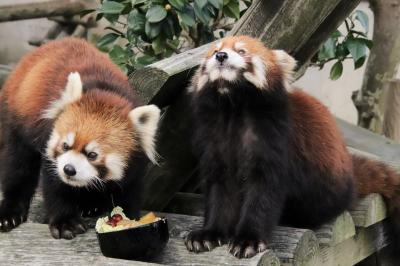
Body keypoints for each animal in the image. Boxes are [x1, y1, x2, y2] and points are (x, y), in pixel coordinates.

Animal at [0, 37, 159, 239]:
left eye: (92, 154)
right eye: (65, 145)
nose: (69, 169)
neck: (105, 91)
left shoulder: (136, 163)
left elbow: (128, 190)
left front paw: (129, 220)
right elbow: (55, 184)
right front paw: (65, 222)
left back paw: (90, 205)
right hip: (16, 118)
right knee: (17, 164)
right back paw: (10, 212)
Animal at [186, 35, 400, 260]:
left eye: (241, 51)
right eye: (214, 50)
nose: (220, 55)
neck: (232, 107)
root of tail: (350, 174)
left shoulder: (274, 137)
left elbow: (263, 192)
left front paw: (248, 240)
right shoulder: (215, 140)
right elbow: (219, 190)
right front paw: (208, 234)